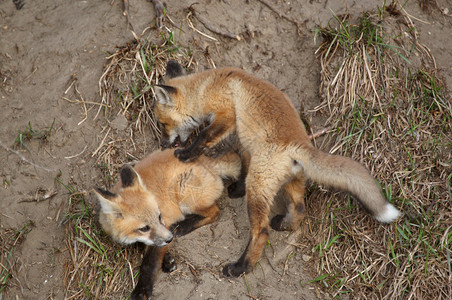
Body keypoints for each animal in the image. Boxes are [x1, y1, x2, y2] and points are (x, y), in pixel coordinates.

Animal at [94, 149, 240, 298]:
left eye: (159, 216)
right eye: (144, 228)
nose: (170, 238)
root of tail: (205, 158)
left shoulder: (166, 224)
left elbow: (149, 262)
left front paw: (143, 289)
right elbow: (150, 245)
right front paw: (167, 260)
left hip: (186, 199)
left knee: (215, 212)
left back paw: (184, 226)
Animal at [154, 59, 400, 278]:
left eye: (163, 124)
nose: (163, 144)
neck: (205, 87)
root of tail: (301, 143)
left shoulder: (226, 115)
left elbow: (204, 137)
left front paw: (187, 154)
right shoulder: (246, 142)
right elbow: (242, 165)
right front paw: (236, 189)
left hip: (258, 186)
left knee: (261, 232)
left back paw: (240, 268)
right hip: (286, 180)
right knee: (299, 208)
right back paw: (284, 224)